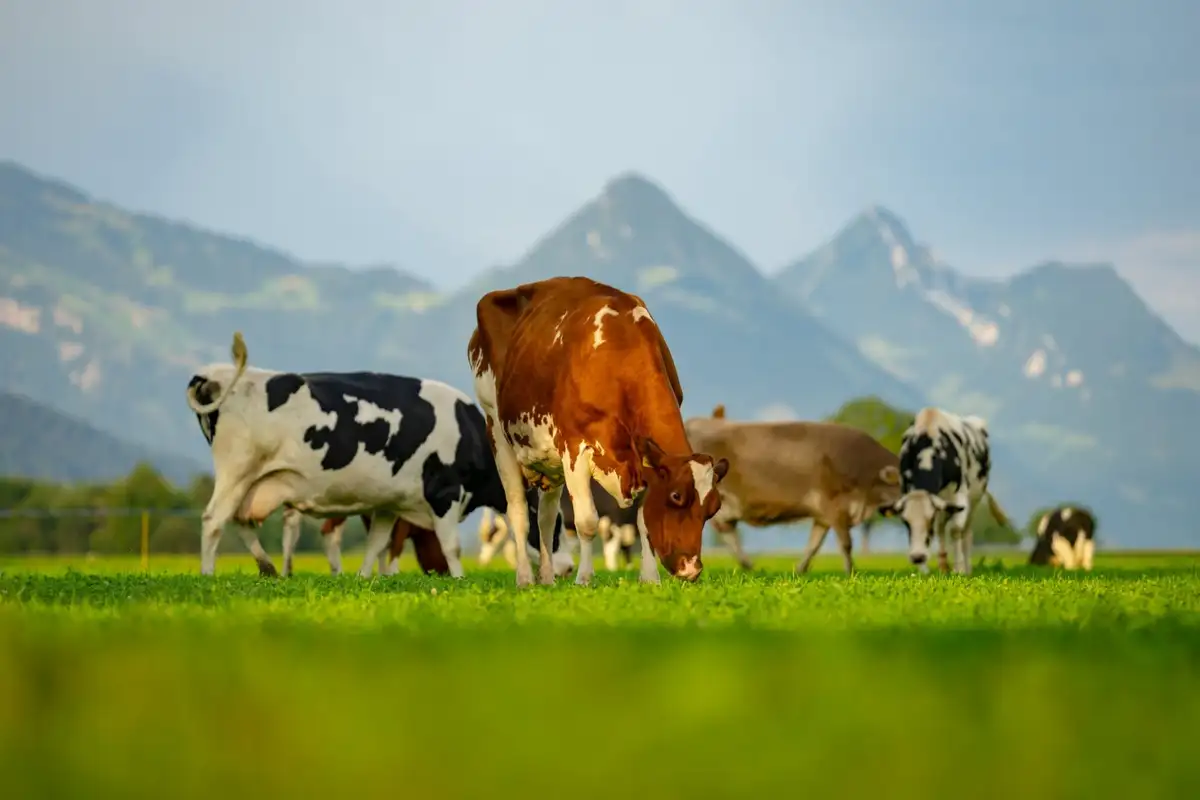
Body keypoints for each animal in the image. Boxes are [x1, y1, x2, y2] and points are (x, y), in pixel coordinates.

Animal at [684, 404, 902, 574]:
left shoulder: (823, 515)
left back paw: (748, 566)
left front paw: (800, 570)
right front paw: (851, 572)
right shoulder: (835, 505)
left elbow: (814, 545)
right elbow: (846, 543)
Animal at [881, 406, 1011, 575]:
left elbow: (955, 530)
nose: (917, 557)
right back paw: (943, 564)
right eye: (905, 522)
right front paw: (924, 571)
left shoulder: (959, 496)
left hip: (975, 498)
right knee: (941, 528)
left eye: (929, 520)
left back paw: (967, 568)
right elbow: (937, 531)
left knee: (966, 532)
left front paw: (959, 569)